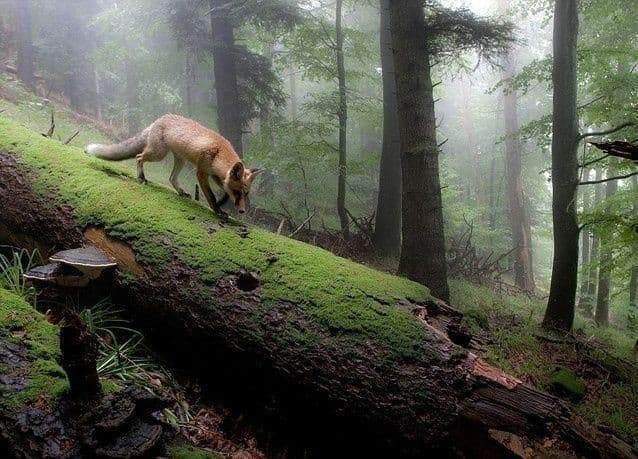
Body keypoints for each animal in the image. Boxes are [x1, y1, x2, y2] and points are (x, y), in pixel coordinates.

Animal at [85, 114, 264, 217]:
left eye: (246, 193)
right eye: (238, 192)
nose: (242, 211)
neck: (218, 153)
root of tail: (158, 120)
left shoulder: (215, 175)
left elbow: (224, 192)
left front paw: (221, 204)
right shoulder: (201, 172)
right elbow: (211, 196)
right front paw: (217, 210)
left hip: (180, 160)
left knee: (171, 178)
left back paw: (180, 192)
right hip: (158, 154)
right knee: (138, 157)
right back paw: (141, 178)